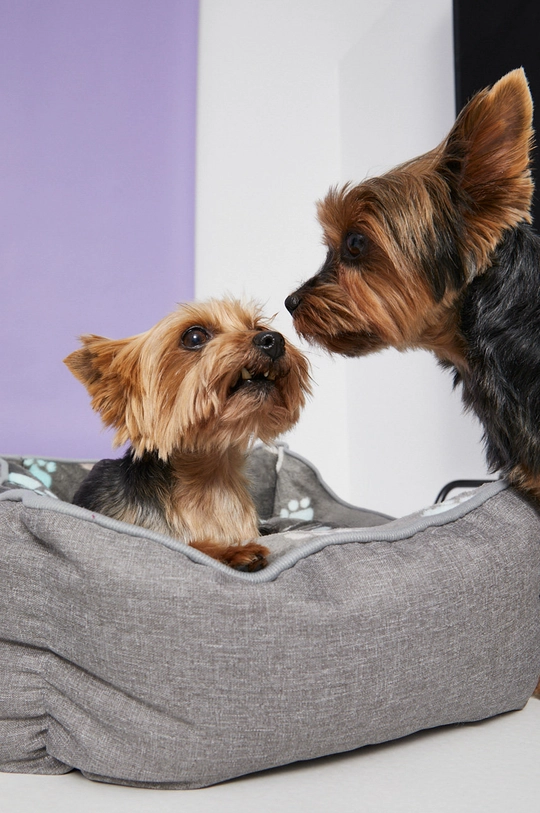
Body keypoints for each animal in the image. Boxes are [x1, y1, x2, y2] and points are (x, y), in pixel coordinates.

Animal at [65, 298, 310, 572]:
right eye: (194, 337)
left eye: (257, 327)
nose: (273, 339)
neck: (211, 478)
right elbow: (191, 546)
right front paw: (236, 552)